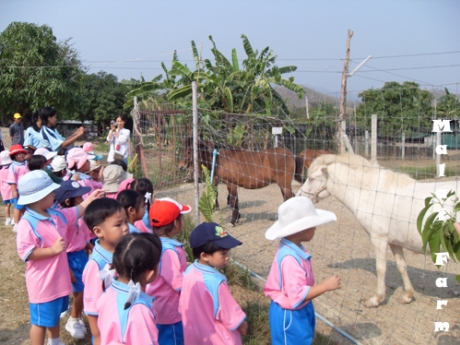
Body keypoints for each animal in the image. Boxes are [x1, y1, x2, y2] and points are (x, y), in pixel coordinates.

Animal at [296, 153, 458, 306]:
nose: (298, 197)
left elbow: (381, 268)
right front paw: (407, 295)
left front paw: (376, 299)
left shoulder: (378, 239)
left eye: (311, 178)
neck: (373, 193)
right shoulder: (395, 242)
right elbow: (401, 266)